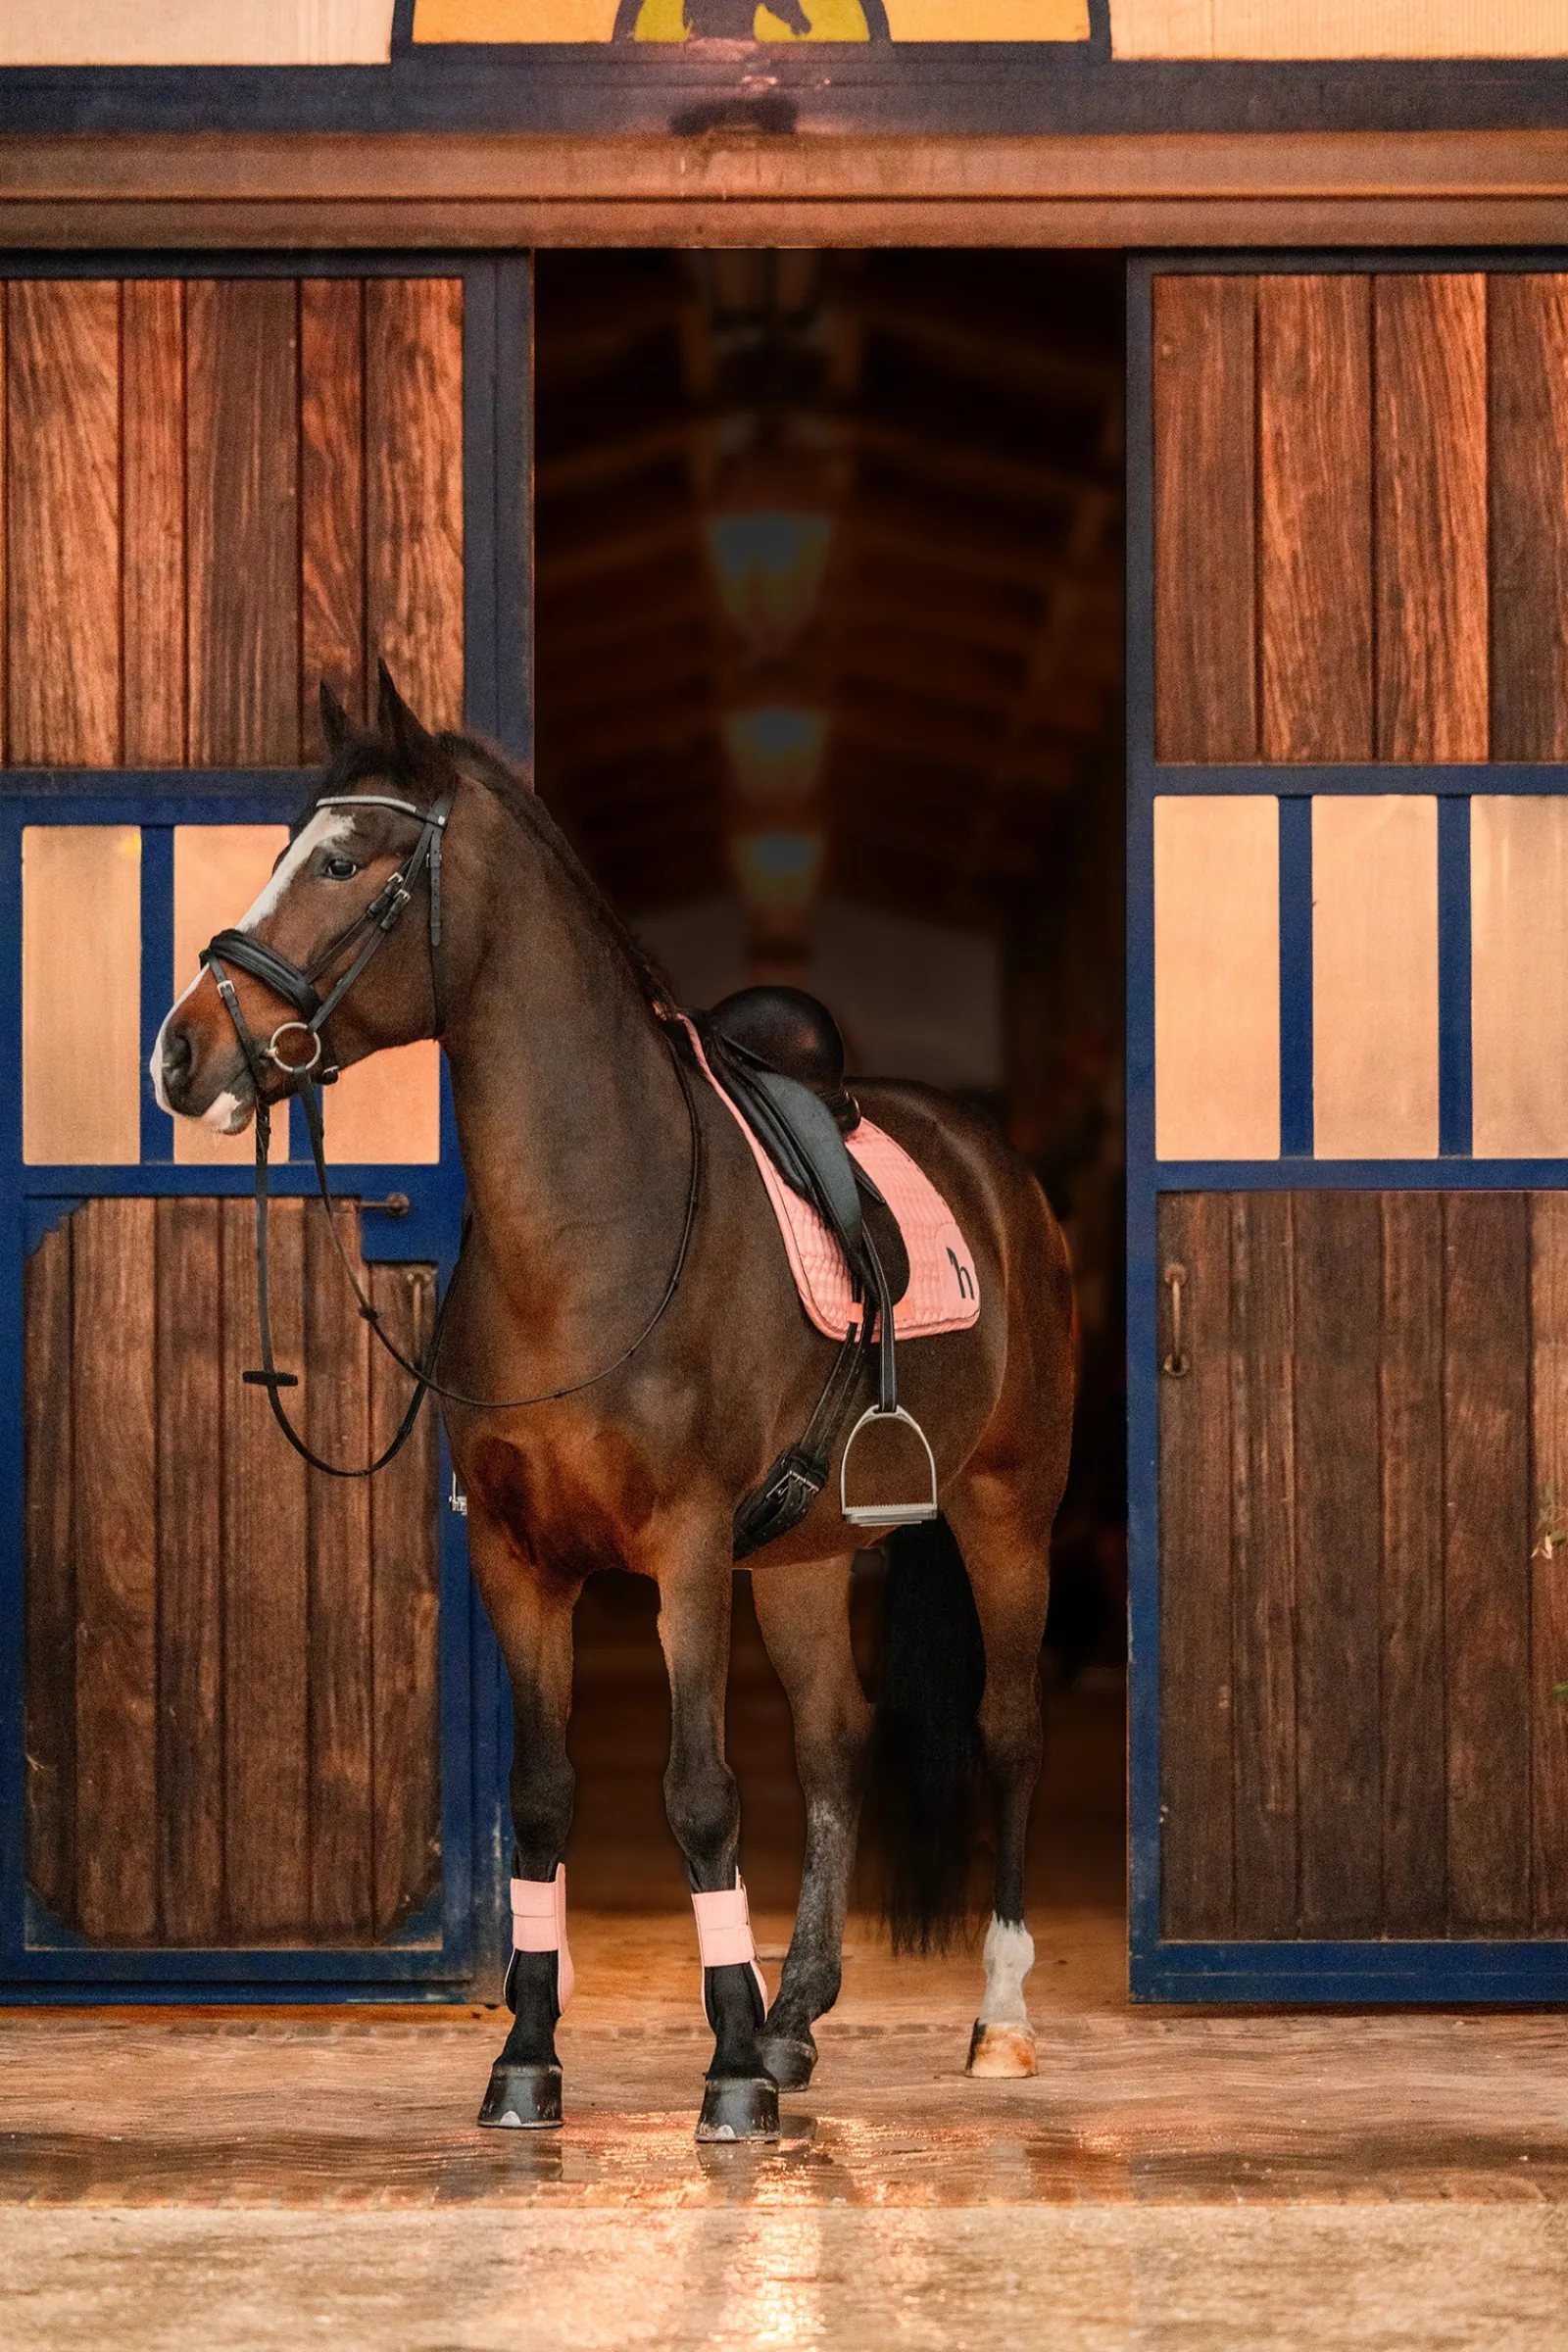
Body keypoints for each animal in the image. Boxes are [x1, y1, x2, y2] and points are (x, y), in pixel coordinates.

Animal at [152, 667, 1076, 2143]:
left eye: (344, 862)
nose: (180, 1057)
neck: (594, 1225)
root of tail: (998, 1167)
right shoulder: (518, 1559)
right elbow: (541, 1802)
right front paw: (530, 2059)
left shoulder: (684, 1553)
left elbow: (701, 1797)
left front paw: (728, 2073)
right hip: (808, 1556)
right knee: (834, 1747)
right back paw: (798, 2017)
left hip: (1006, 1518)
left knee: (1008, 1734)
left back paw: (995, 2021)